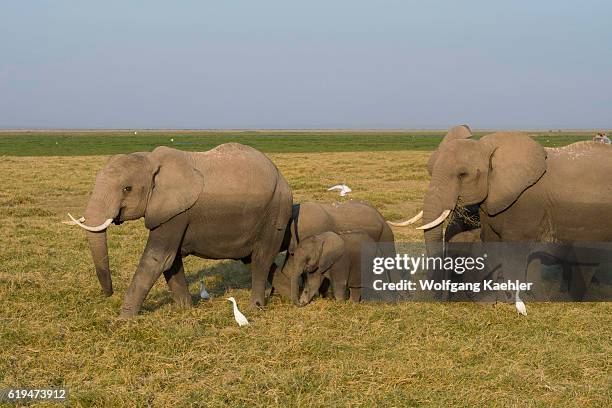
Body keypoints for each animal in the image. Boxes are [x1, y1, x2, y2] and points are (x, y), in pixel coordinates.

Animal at [64, 143, 292, 316]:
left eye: (127, 189)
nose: (108, 294)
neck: (151, 160)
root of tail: (281, 176)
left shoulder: (176, 211)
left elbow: (158, 259)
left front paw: (123, 319)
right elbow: (171, 261)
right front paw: (186, 309)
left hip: (276, 210)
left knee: (262, 258)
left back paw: (255, 308)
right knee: (254, 258)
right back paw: (295, 297)